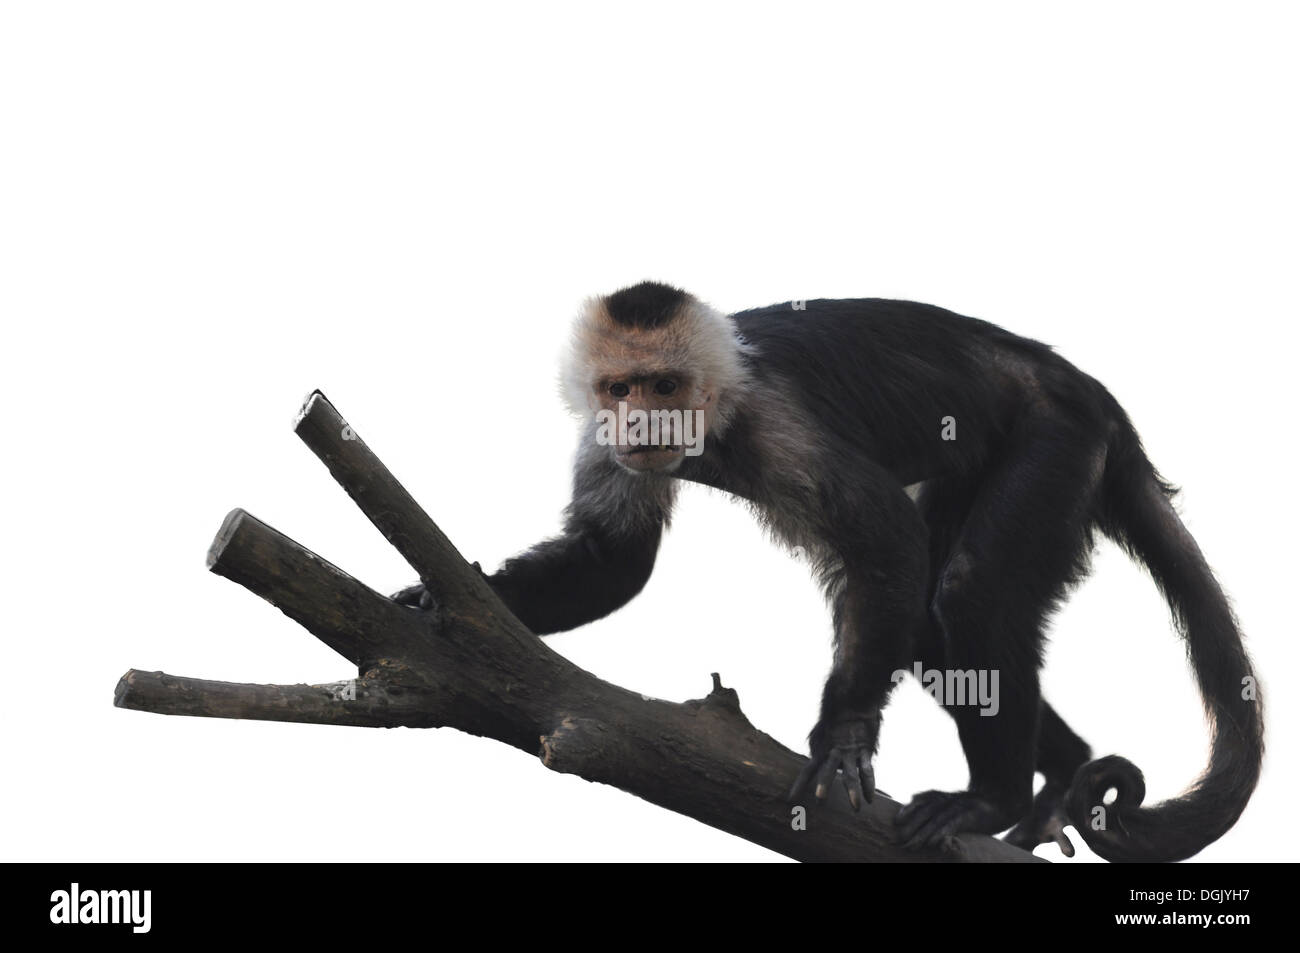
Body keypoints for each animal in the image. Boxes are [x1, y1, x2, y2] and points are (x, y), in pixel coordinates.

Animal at [395, 281, 1262, 862]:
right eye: (620, 389)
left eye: (664, 385)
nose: (641, 419)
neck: (716, 416)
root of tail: (1094, 393)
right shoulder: (601, 436)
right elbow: (612, 562)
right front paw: (440, 598)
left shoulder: (777, 422)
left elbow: (887, 539)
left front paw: (843, 735)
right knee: (929, 631)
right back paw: (1067, 774)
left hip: (1058, 437)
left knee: (965, 591)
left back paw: (993, 798)